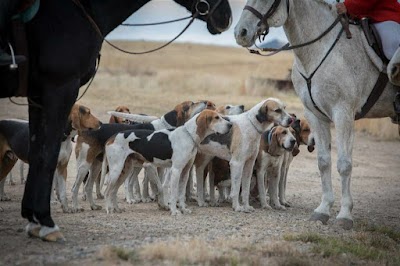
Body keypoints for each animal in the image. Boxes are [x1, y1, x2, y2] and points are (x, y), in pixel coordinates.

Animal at [1, 0, 231, 241]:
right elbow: (164, 188)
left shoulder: (183, 171)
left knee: (100, 189)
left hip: (114, 168)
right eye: (190, 105)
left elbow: (176, 192)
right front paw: (171, 209)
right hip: (98, 166)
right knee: (89, 188)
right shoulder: (169, 169)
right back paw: (89, 208)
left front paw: (181, 208)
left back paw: (107, 207)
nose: (229, 123)